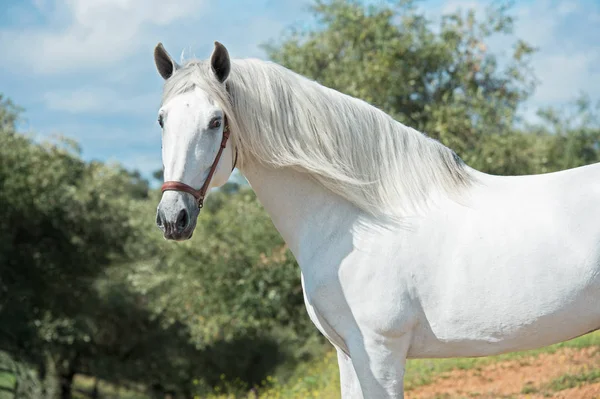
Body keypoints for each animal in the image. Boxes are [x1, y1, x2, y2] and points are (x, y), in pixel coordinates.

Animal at [155, 42, 600, 398]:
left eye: (216, 122)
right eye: (162, 120)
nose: (173, 217)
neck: (359, 222)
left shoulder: (379, 354)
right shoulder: (349, 355)